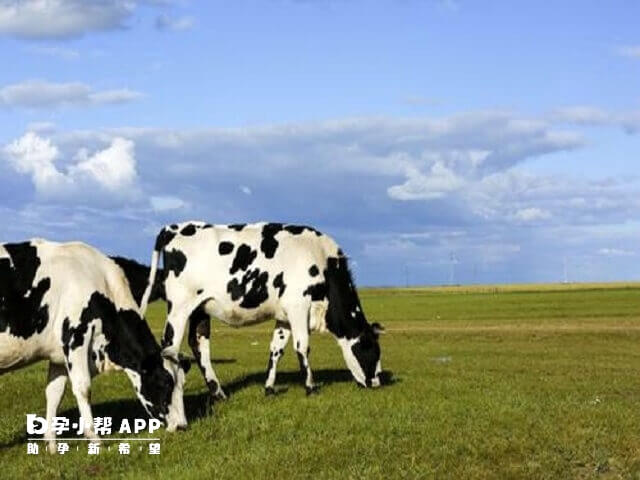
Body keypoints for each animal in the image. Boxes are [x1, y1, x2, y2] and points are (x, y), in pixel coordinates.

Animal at [0, 240, 190, 454]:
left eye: (183, 383)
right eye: (165, 383)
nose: (182, 426)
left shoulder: (58, 353)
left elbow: (54, 393)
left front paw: (52, 446)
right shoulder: (76, 337)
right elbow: (83, 387)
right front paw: (95, 439)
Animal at [138, 221, 382, 402]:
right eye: (372, 350)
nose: (377, 382)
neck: (322, 260)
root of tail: (173, 227)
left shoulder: (284, 316)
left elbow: (277, 349)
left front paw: (269, 388)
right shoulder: (298, 306)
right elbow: (302, 346)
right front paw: (310, 387)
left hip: (200, 308)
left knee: (199, 344)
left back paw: (219, 393)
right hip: (180, 307)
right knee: (170, 344)